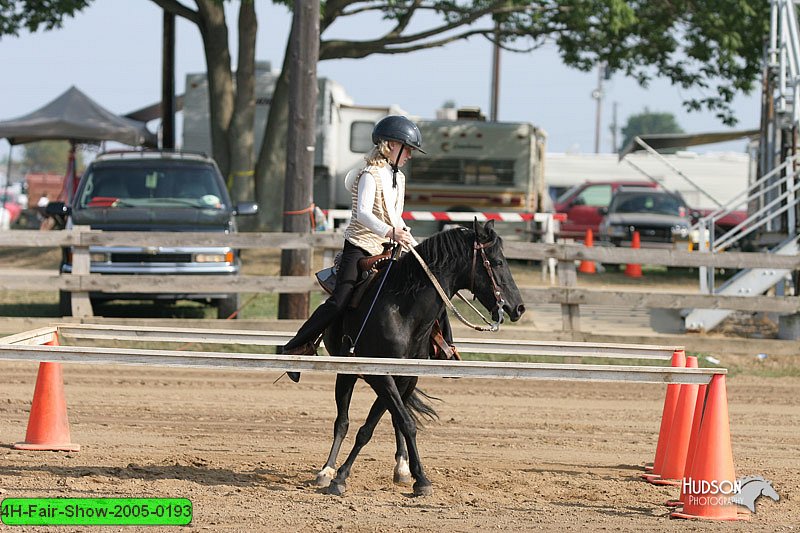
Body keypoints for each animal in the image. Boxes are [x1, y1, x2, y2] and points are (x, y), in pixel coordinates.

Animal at [310, 219, 524, 494]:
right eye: (497, 262)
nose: (518, 307)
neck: (402, 310)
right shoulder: (380, 377)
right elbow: (397, 424)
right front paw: (339, 477)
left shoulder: (406, 378)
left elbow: (388, 423)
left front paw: (415, 476)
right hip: (346, 371)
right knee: (342, 421)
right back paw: (326, 470)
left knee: (391, 418)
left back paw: (400, 468)